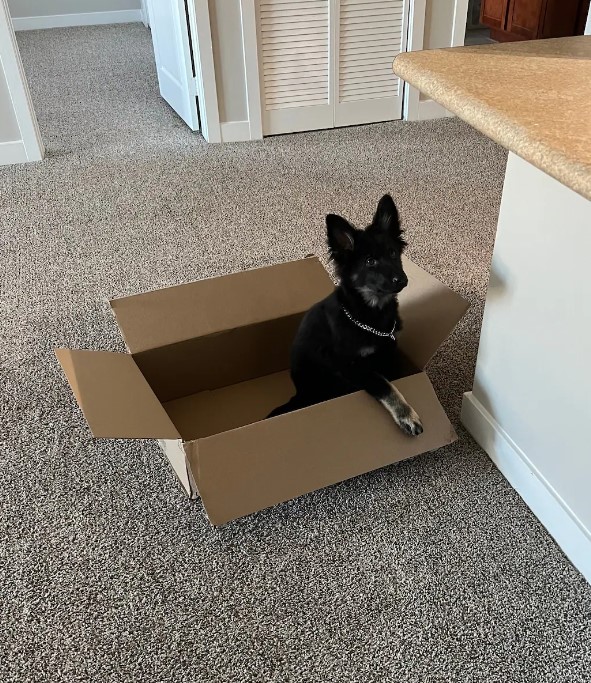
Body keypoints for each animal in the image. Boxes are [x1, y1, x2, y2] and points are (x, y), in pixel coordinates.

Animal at [268, 194, 426, 438]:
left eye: (393, 253)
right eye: (370, 261)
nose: (402, 280)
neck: (370, 314)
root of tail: (299, 393)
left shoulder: (389, 350)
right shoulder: (350, 366)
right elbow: (385, 385)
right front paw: (406, 415)